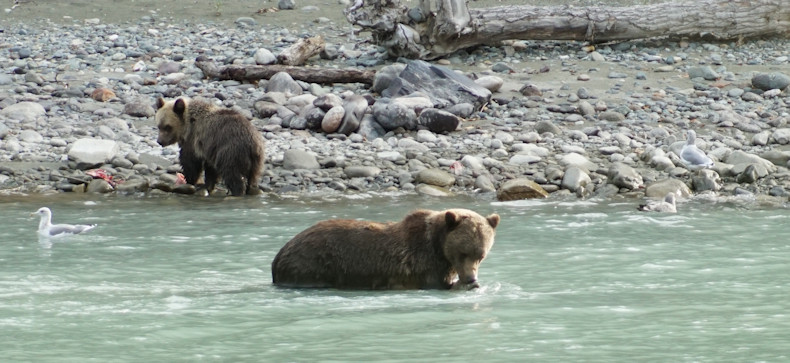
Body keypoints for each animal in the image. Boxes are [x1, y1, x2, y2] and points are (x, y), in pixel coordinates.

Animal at [272, 210, 502, 290]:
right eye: (463, 253)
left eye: (481, 255)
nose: (470, 278)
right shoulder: (423, 264)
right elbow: (436, 283)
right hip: (311, 263)